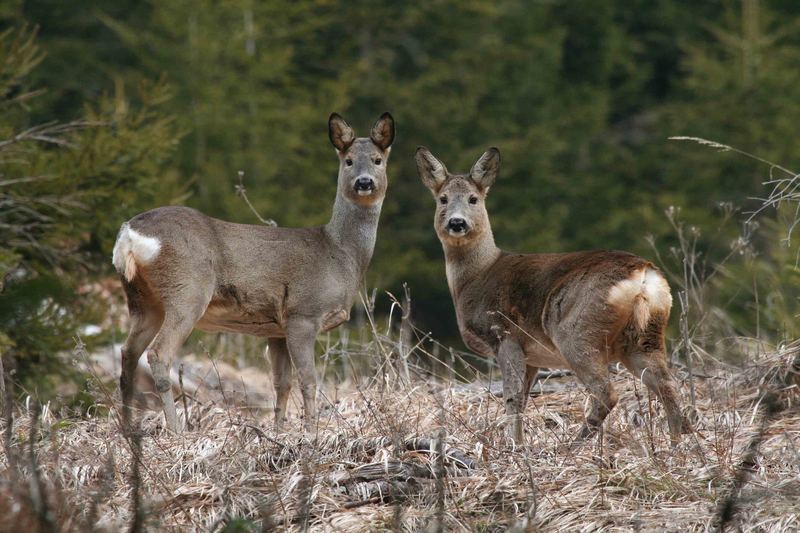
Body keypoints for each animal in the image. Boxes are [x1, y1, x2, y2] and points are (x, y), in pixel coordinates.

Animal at [113, 113, 396, 432]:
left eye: (377, 160)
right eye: (348, 161)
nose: (364, 182)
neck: (340, 254)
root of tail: (129, 235)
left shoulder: (276, 329)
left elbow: (281, 384)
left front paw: (279, 431)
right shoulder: (303, 314)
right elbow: (308, 381)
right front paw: (311, 432)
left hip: (142, 301)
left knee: (128, 354)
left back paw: (128, 428)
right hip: (186, 291)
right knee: (158, 354)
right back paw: (176, 430)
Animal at [418, 145, 688, 444]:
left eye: (473, 199)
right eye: (442, 199)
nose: (457, 223)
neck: (477, 276)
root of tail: (642, 276)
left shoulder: (504, 333)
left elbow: (512, 398)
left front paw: (515, 446)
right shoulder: (532, 356)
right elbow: (523, 399)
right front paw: (518, 443)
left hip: (577, 331)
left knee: (606, 392)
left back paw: (574, 445)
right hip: (644, 337)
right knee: (668, 385)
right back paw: (678, 442)